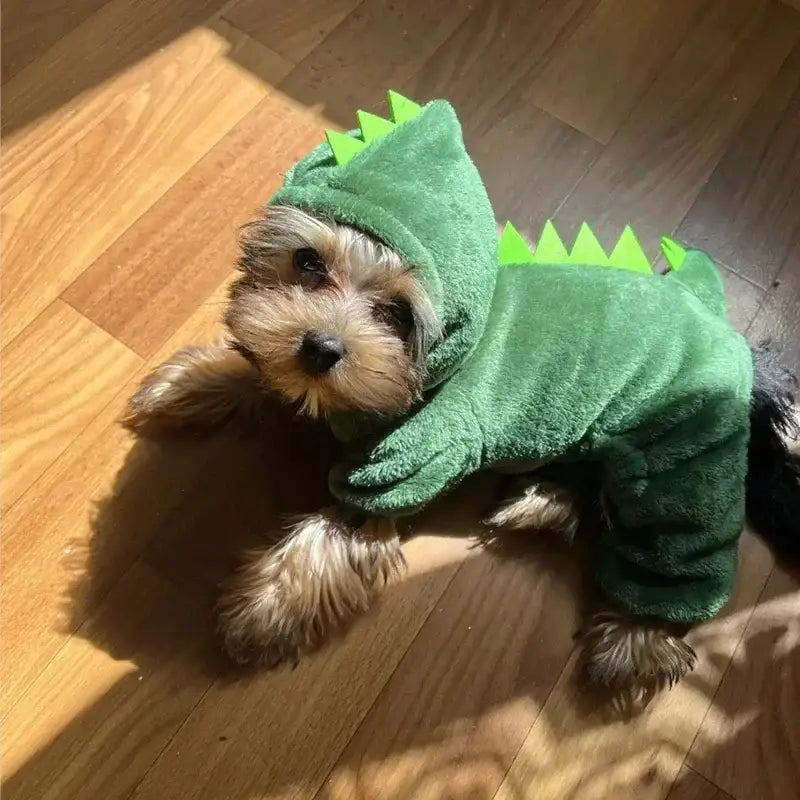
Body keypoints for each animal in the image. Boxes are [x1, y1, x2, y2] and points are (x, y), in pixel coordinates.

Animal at [125, 203, 800, 704]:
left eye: (398, 313)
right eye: (307, 262)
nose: (319, 348)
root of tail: (739, 351)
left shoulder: (406, 464)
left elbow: (331, 531)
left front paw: (262, 610)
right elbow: (262, 373)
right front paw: (188, 385)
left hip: (678, 460)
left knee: (679, 547)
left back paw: (634, 641)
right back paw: (543, 499)